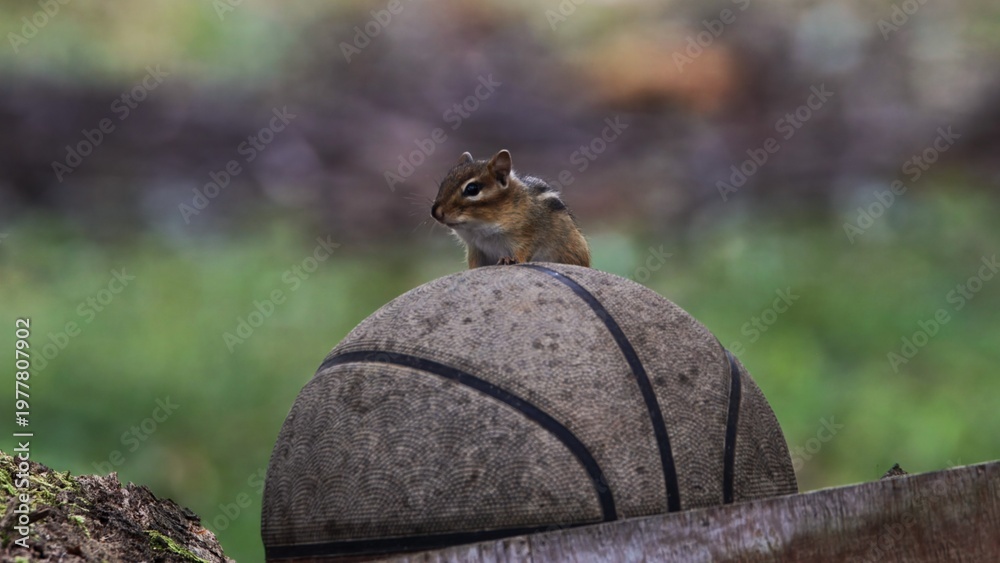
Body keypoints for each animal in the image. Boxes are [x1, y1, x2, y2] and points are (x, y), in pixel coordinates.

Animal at [431, 149, 591, 269]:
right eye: (444, 182)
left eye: (472, 189)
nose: (435, 212)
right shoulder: (475, 249)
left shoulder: (529, 233)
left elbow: (524, 249)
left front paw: (509, 259)